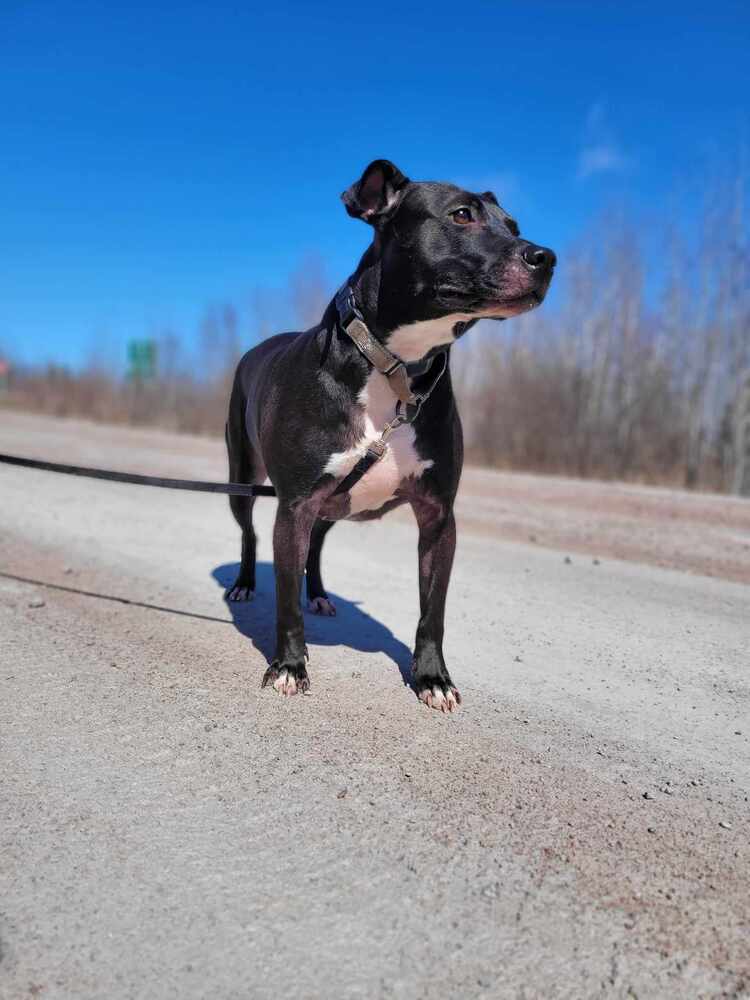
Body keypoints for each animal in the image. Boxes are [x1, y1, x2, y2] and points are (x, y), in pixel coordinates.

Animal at [226, 160, 556, 712]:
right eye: (461, 215)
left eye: (513, 226)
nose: (546, 257)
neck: (396, 367)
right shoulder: (294, 505)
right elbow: (286, 603)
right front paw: (290, 666)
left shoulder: (438, 516)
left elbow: (432, 610)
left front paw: (431, 677)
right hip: (244, 478)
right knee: (250, 533)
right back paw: (247, 583)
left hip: (335, 501)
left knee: (316, 545)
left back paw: (319, 592)